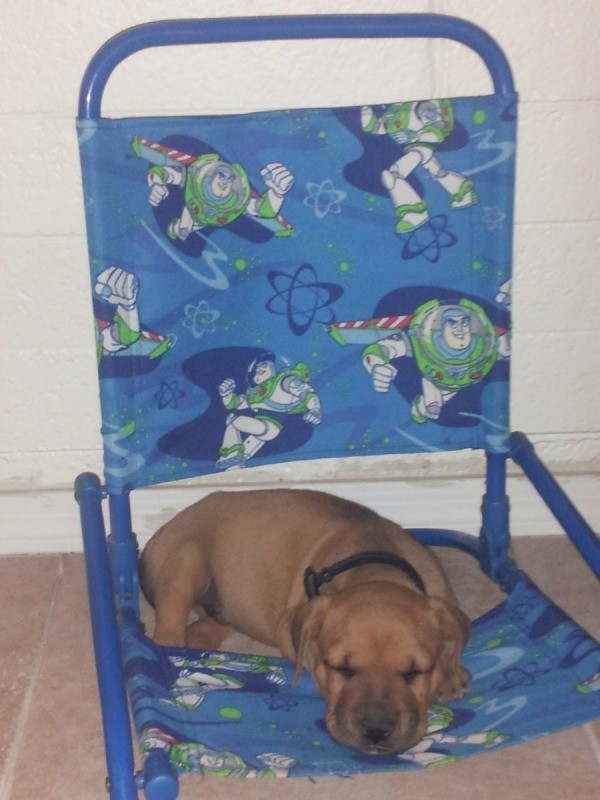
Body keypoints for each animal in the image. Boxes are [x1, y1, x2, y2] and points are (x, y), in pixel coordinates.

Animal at [138, 488, 472, 756]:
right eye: (342, 669)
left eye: (415, 672)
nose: (376, 731)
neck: (377, 567)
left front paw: (452, 674)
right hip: (187, 560)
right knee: (168, 627)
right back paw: (174, 655)